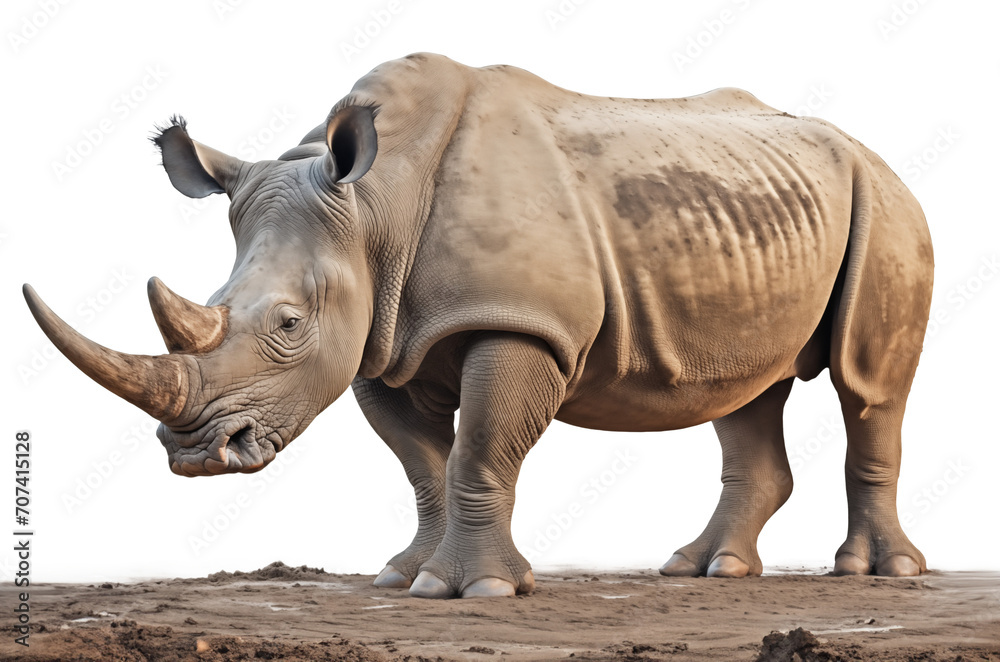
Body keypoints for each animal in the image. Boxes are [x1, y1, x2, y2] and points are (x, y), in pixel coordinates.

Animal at [24, 53, 933, 599]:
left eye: (287, 323)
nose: (195, 454)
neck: (371, 207)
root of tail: (871, 151)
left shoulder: (519, 325)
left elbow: (480, 449)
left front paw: (478, 590)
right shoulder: (381, 342)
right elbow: (424, 464)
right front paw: (408, 578)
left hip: (886, 203)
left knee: (869, 387)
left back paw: (874, 574)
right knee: (746, 388)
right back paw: (704, 570)